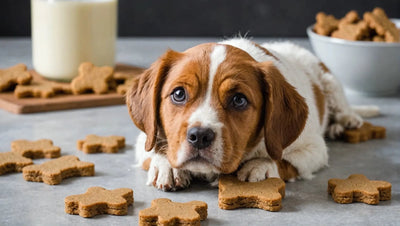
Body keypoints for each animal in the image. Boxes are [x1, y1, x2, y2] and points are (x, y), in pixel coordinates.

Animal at [126, 38, 364, 192]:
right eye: (178, 94)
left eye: (238, 100)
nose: (199, 136)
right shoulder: (144, 137)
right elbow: (153, 147)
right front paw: (167, 166)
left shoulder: (314, 149)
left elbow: (282, 160)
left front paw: (260, 166)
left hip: (330, 82)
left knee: (342, 107)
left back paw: (345, 122)